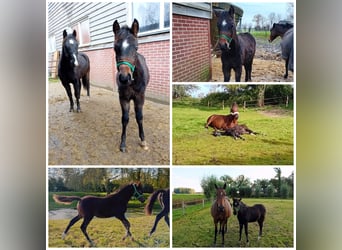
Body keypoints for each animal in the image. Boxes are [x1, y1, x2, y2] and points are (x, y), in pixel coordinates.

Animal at [112, 19, 150, 152]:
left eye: (136, 47)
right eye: (115, 48)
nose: (124, 77)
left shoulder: (139, 97)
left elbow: (139, 117)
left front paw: (143, 141)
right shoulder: (123, 98)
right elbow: (125, 118)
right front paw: (123, 143)